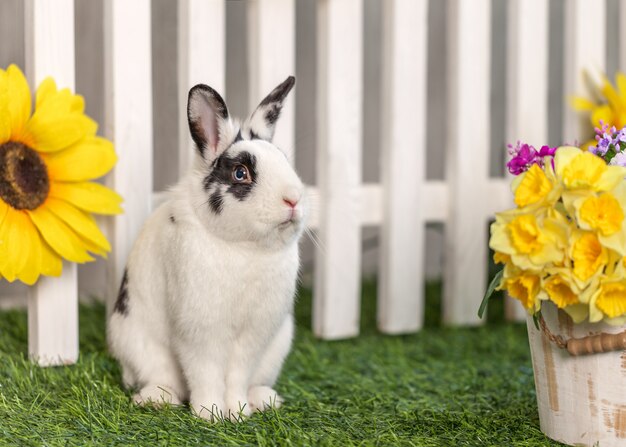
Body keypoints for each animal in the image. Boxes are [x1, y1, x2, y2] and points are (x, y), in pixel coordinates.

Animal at [108, 75, 308, 422]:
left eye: (285, 162)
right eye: (241, 173)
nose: (293, 199)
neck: (245, 248)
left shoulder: (254, 335)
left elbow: (237, 374)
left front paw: (238, 412)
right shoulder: (199, 331)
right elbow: (206, 373)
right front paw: (210, 414)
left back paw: (263, 399)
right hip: (137, 343)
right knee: (162, 380)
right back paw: (155, 398)